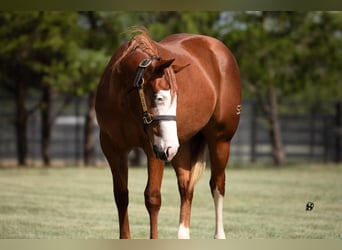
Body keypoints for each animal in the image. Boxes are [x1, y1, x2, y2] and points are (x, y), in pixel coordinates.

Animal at [95, 28, 242, 239]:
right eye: (159, 97)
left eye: (176, 97)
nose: (169, 147)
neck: (124, 102)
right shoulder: (113, 149)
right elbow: (121, 196)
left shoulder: (154, 150)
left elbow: (153, 197)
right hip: (180, 147)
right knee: (186, 187)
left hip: (219, 141)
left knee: (217, 185)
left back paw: (219, 235)